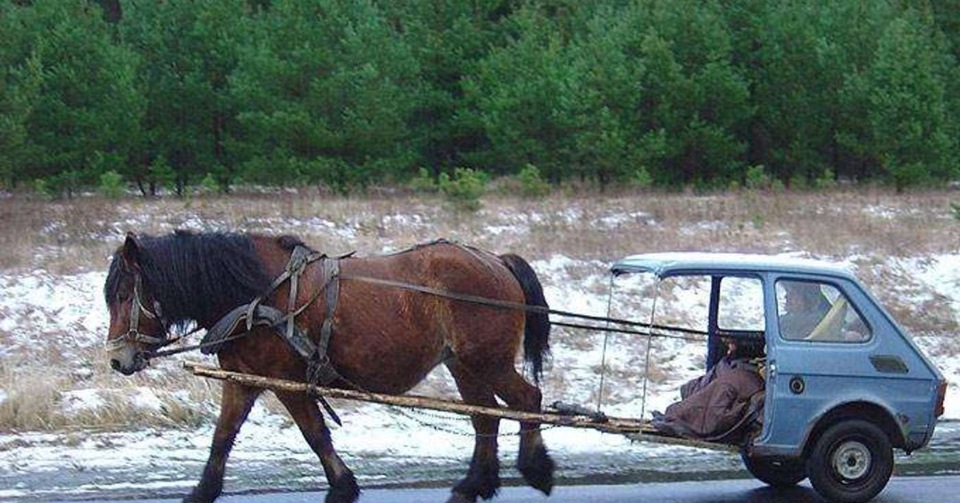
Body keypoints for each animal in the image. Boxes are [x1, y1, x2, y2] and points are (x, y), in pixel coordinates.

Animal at [103, 231, 556, 503]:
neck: (256, 296)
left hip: (487, 359)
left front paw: (342, 487)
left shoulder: (286, 381)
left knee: (527, 399)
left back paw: (535, 469)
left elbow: (315, 434)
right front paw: (201, 492)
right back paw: (474, 485)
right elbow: (222, 439)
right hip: (464, 363)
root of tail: (496, 260)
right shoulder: (243, 381)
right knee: (485, 416)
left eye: (124, 294)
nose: (117, 359)